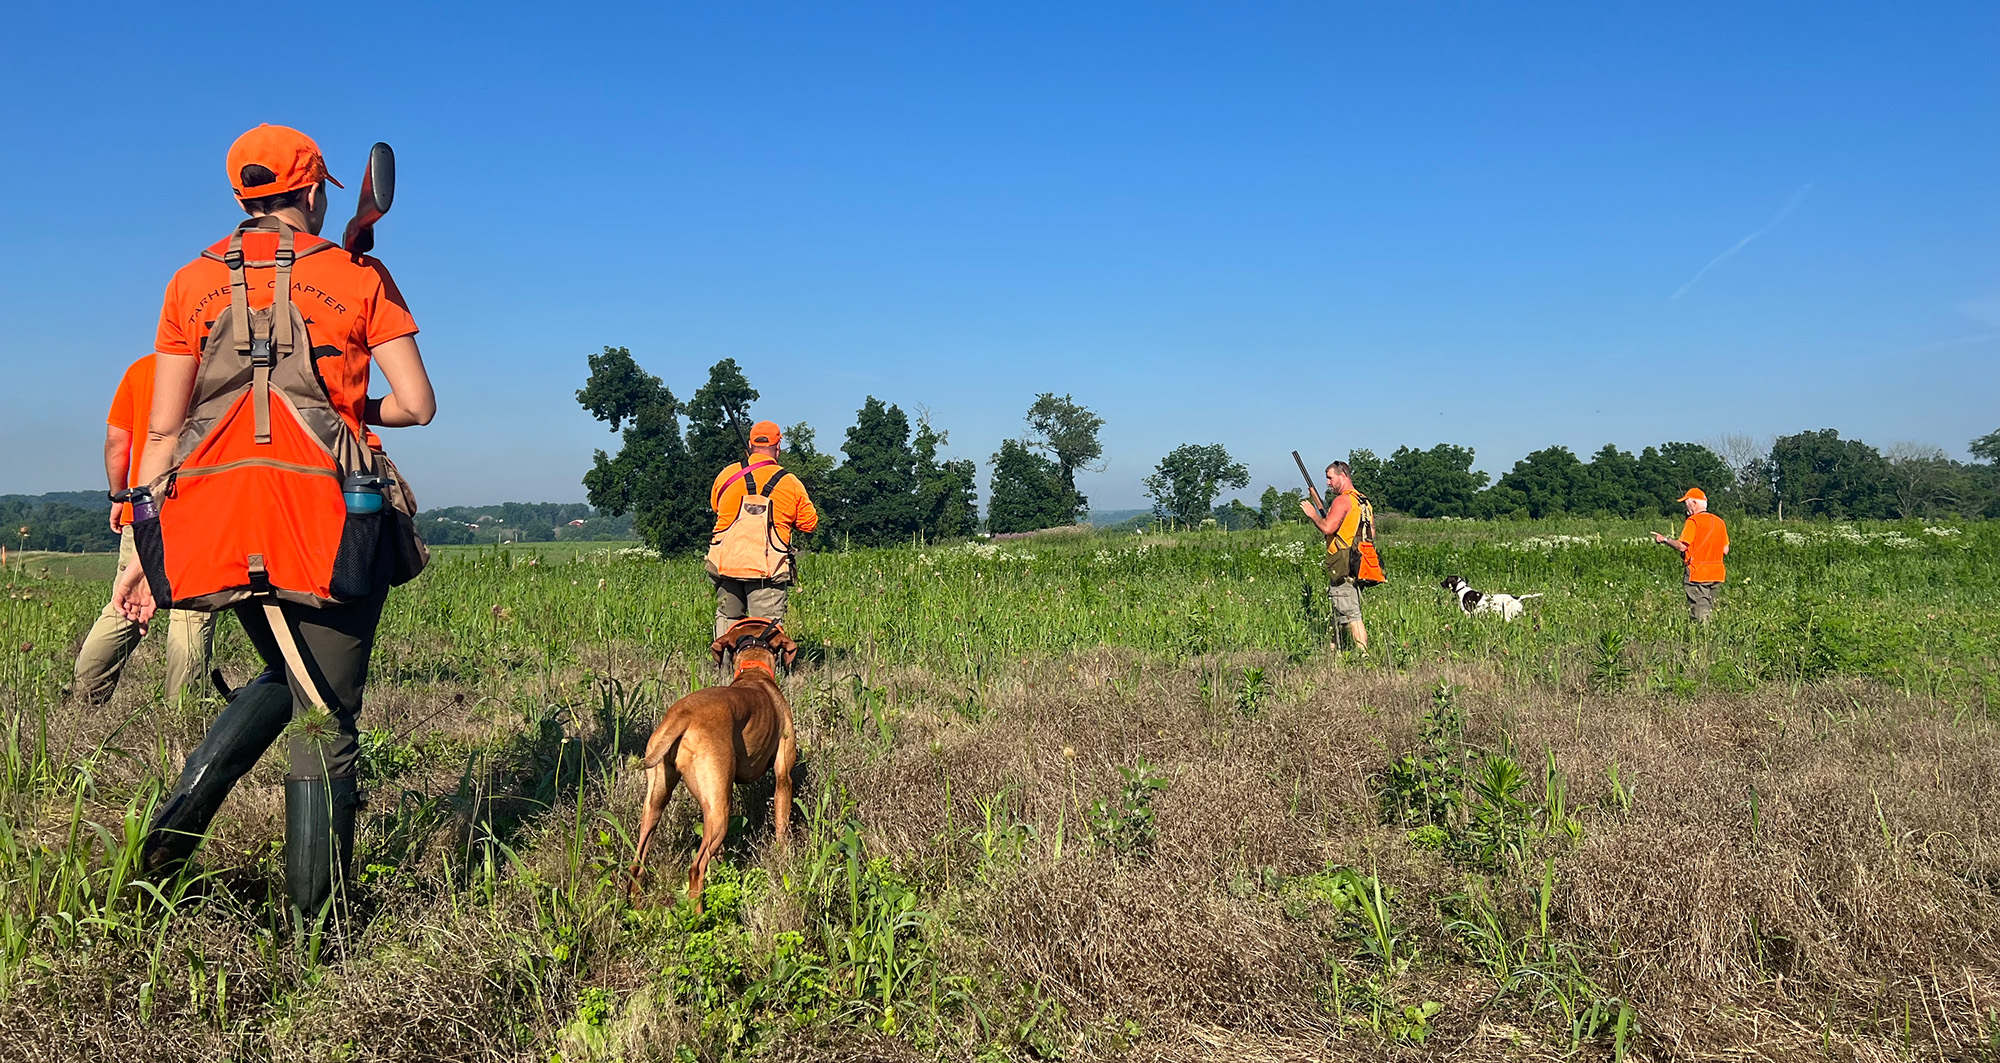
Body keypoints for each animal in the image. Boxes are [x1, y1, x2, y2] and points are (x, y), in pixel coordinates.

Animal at [636, 619, 800, 911]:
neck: (754, 672)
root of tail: (683, 715)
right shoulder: (784, 776)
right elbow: (782, 825)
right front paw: (784, 861)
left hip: (658, 802)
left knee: (637, 863)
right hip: (719, 812)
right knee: (696, 868)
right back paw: (698, 916)